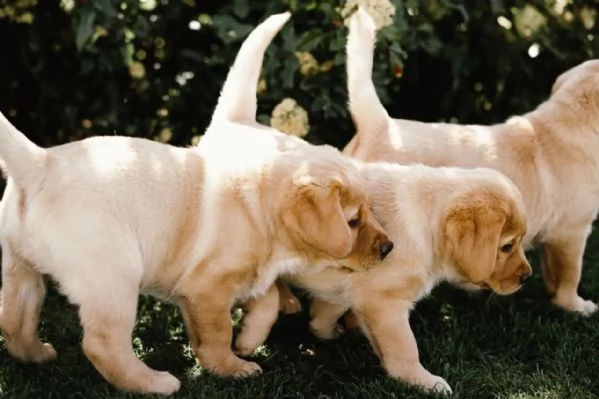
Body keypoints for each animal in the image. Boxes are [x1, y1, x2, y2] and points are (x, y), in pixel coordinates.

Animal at [0, 10, 394, 396]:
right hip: (114, 276)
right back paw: (155, 383)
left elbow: (265, 302)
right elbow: (218, 332)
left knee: (14, 318)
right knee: (102, 342)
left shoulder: (247, 277)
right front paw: (233, 368)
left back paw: (37, 354)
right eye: (352, 221)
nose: (389, 247)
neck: (259, 210)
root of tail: (40, 165)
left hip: (20, 267)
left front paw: (248, 341)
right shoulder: (207, 288)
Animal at [237, 160, 532, 394]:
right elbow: (404, 347)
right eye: (507, 246)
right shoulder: (385, 302)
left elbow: (330, 307)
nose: (527, 277)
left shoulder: (355, 287)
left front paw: (323, 329)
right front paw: (423, 381)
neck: (427, 226)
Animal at [344, 7, 599, 316]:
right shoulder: (573, 233)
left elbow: (552, 271)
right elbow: (570, 275)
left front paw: (554, 298)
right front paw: (575, 306)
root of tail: (379, 125)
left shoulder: (555, 238)